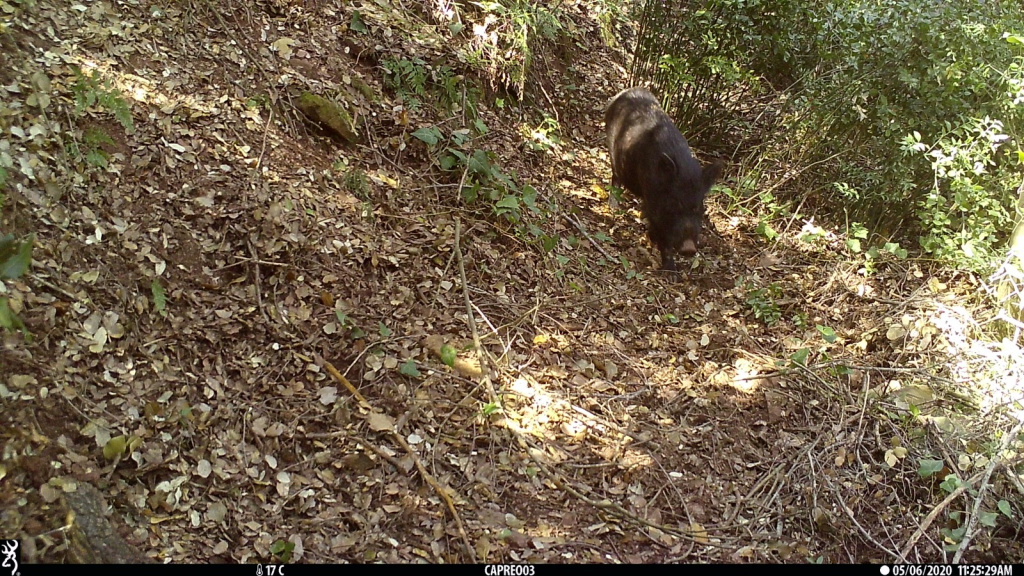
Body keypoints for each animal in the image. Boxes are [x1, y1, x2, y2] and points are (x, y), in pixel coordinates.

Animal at [602, 87, 724, 270]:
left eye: (697, 207)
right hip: (613, 153)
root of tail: (623, 93)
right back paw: (614, 207)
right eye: (675, 204)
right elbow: (661, 232)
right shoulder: (652, 199)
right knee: (615, 176)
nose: (689, 248)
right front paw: (671, 270)